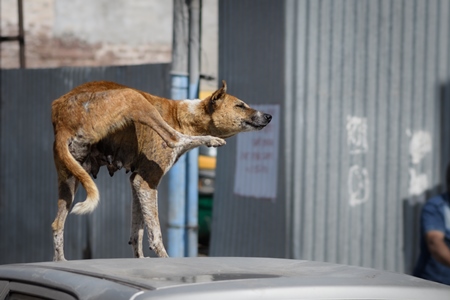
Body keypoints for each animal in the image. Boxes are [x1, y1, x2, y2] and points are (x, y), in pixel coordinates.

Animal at [51, 79, 272, 260]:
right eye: (240, 106)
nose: (269, 116)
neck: (184, 116)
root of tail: (61, 119)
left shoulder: (136, 183)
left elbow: (137, 231)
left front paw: (140, 259)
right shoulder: (145, 182)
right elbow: (155, 233)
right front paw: (164, 259)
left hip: (70, 180)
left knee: (57, 225)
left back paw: (60, 261)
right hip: (134, 98)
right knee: (174, 138)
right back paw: (209, 140)